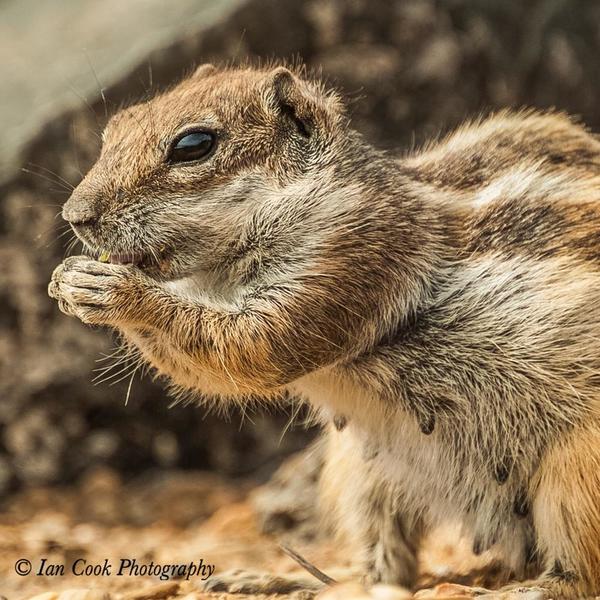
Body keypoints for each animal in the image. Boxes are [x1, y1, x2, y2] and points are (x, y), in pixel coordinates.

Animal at [49, 63, 600, 596]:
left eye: (194, 145)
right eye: (115, 128)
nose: (75, 216)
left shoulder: (348, 258)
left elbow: (251, 346)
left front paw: (116, 291)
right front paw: (65, 279)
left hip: (575, 472)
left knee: (578, 574)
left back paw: (518, 590)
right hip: (359, 472)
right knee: (384, 568)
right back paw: (280, 579)